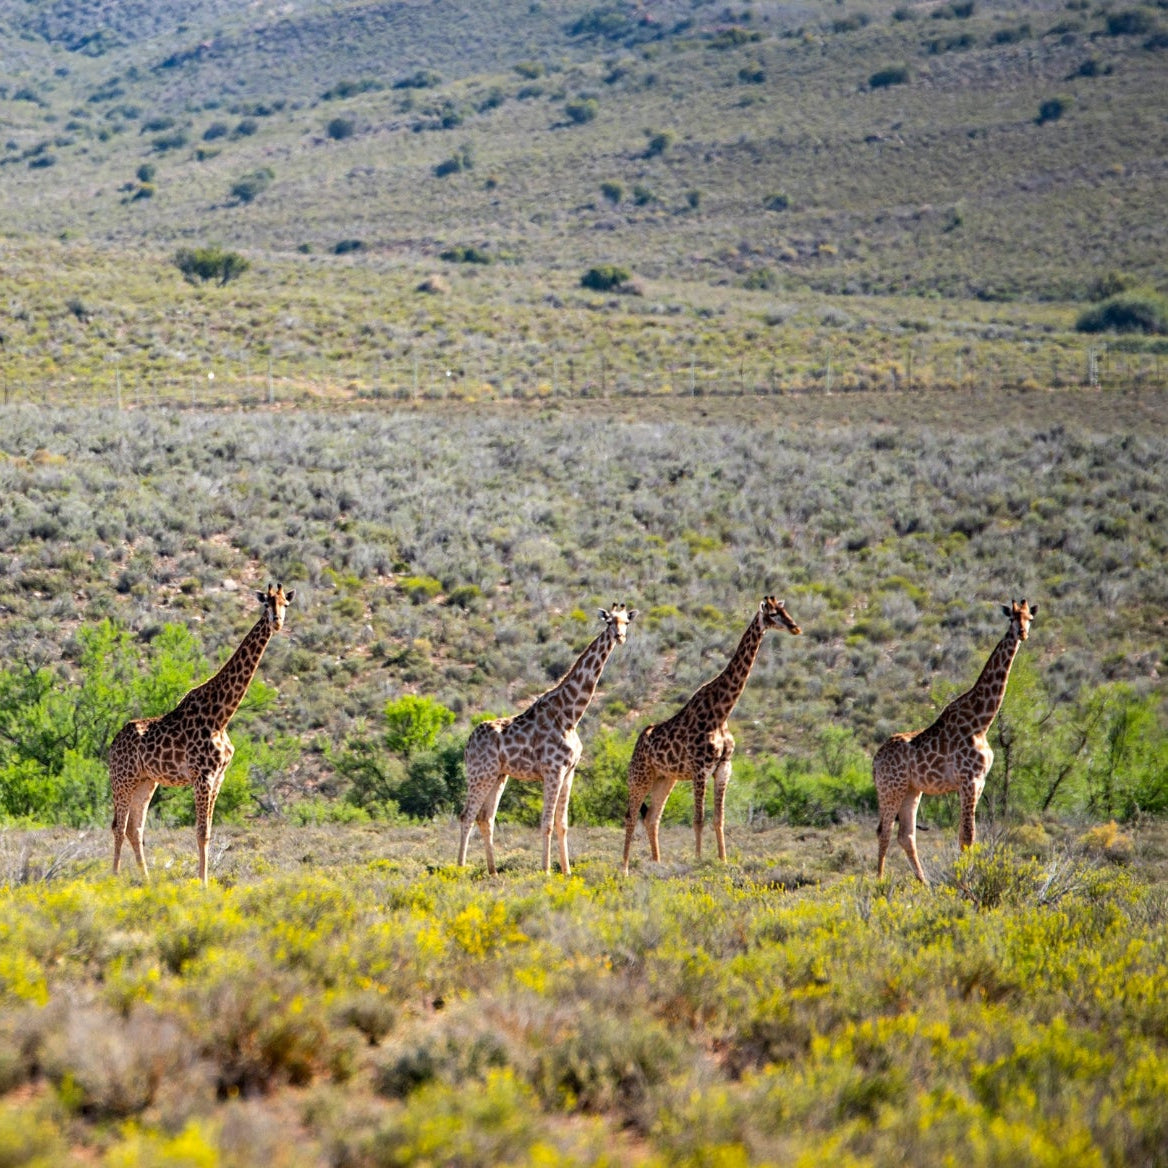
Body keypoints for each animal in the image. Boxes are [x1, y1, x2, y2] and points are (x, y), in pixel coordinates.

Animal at [110, 583, 294, 886]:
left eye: (285, 604)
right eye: (266, 604)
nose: (277, 622)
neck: (221, 715)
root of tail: (112, 745)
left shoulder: (218, 776)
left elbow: (207, 831)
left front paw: (205, 880)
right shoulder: (202, 776)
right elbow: (200, 832)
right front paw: (204, 883)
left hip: (146, 782)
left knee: (134, 829)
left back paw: (146, 879)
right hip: (122, 779)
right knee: (118, 825)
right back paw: (113, 879)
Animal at [458, 603, 637, 876]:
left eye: (626, 622)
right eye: (609, 622)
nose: (620, 637)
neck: (570, 715)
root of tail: (468, 744)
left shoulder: (569, 771)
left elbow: (562, 823)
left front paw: (567, 871)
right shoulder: (553, 770)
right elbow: (547, 823)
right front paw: (546, 871)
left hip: (498, 775)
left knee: (485, 818)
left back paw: (494, 872)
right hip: (480, 774)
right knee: (466, 815)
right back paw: (458, 868)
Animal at [622, 596, 802, 875]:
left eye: (785, 610)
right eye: (773, 614)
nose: (795, 627)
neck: (721, 713)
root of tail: (638, 743)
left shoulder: (723, 768)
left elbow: (719, 819)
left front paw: (723, 861)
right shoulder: (700, 769)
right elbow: (699, 819)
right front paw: (698, 861)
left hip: (665, 778)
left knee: (652, 817)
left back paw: (657, 863)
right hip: (640, 776)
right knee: (631, 817)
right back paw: (625, 868)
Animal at [874, 598, 1038, 882]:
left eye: (1029, 618)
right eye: (1011, 618)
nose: (1022, 633)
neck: (981, 722)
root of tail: (874, 761)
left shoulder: (979, 781)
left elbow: (965, 835)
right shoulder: (969, 779)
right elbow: (968, 836)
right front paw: (966, 881)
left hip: (911, 790)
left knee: (906, 835)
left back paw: (924, 884)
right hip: (891, 788)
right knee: (885, 832)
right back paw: (879, 883)